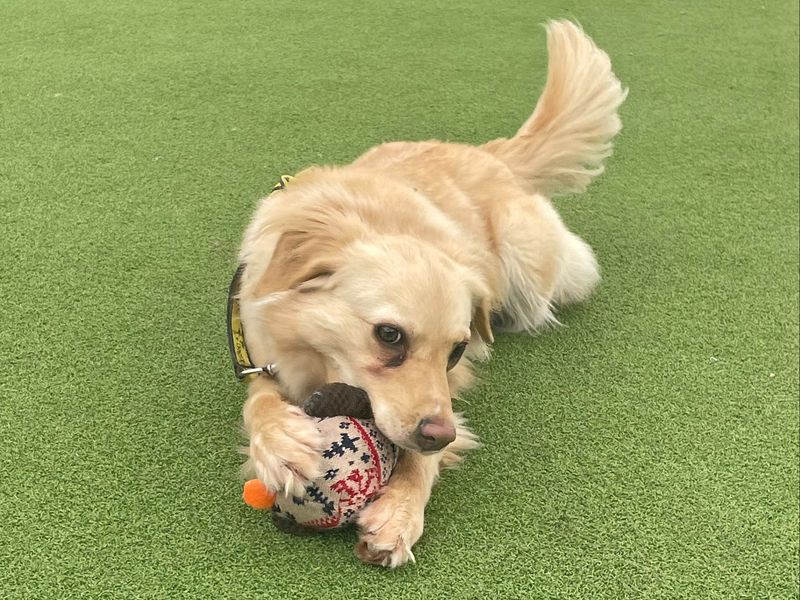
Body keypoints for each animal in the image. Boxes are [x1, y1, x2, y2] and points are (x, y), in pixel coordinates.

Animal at [234, 21, 628, 564]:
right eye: (389, 335)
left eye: (457, 350)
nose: (437, 433)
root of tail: (488, 151)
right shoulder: (257, 353)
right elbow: (258, 403)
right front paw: (280, 445)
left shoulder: (448, 395)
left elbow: (423, 456)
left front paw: (401, 513)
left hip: (526, 258)